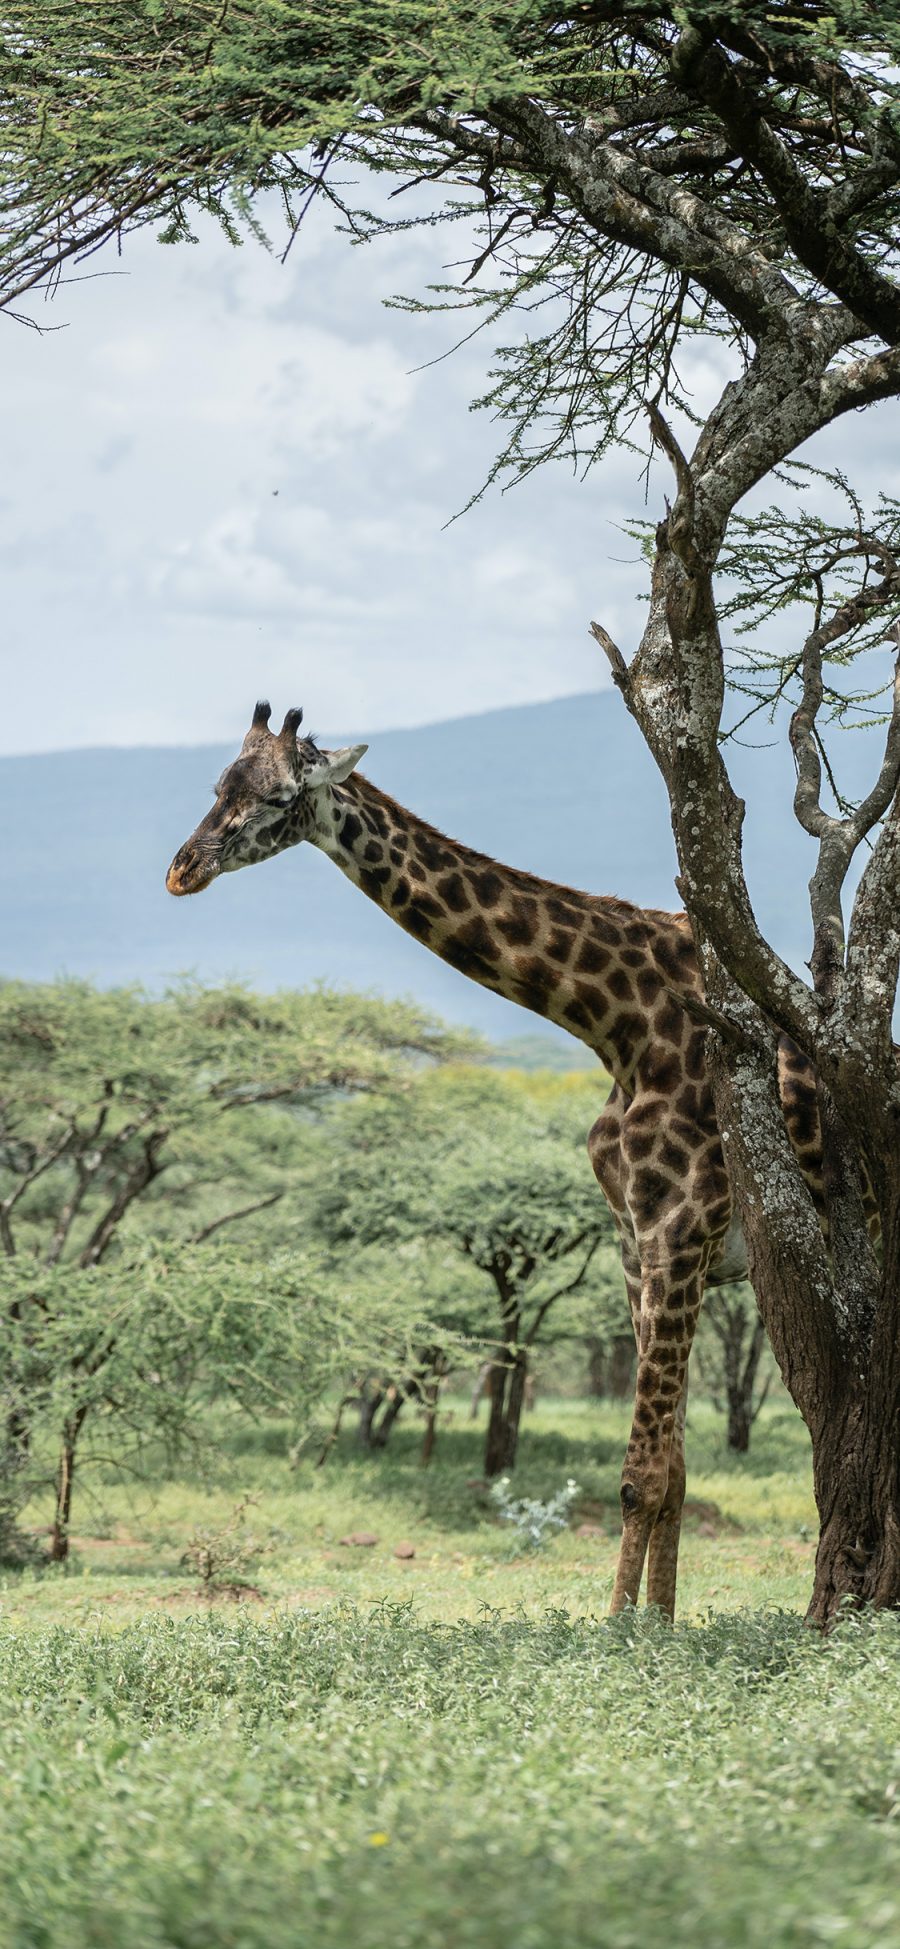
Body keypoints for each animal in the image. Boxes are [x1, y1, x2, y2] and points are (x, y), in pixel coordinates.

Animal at [166, 701, 822, 1613]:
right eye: (217, 784)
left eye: (276, 797)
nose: (182, 870)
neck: (614, 1021)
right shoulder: (636, 1242)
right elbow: (676, 1470)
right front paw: (659, 1622)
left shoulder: (681, 1229)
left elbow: (641, 1476)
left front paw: (620, 1632)